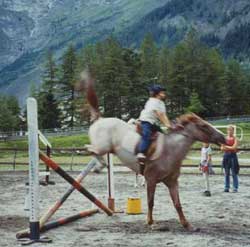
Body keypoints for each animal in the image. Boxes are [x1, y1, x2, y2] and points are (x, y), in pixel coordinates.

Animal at [81, 72, 226, 232]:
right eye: (203, 126)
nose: (223, 137)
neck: (170, 149)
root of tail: (100, 119)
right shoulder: (151, 179)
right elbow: (151, 202)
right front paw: (151, 223)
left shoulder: (172, 182)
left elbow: (177, 204)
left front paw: (187, 224)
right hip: (102, 147)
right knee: (89, 149)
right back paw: (100, 165)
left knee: (91, 150)